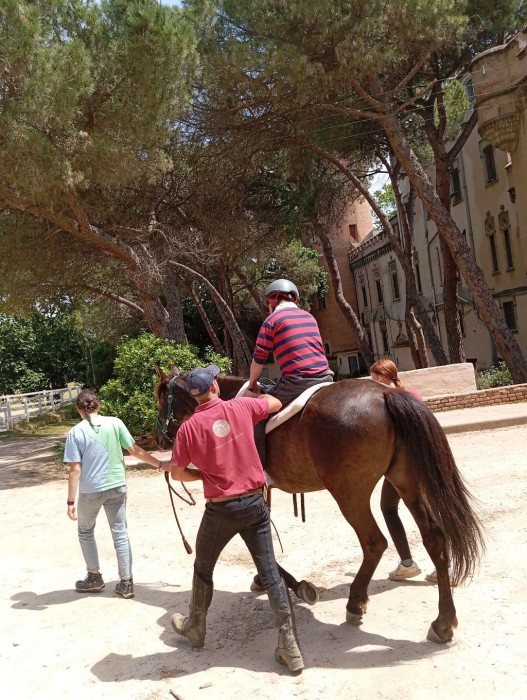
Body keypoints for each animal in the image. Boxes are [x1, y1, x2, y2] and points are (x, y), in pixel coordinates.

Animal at [155, 367, 484, 644]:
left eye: (159, 398)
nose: (159, 438)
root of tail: (385, 394)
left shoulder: (257, 490)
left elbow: (257, 546)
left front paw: (291, 583)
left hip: (350, 493)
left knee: (374, 542)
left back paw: (356, 602)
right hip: (407, 483)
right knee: (434, 538)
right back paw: (443, 622)